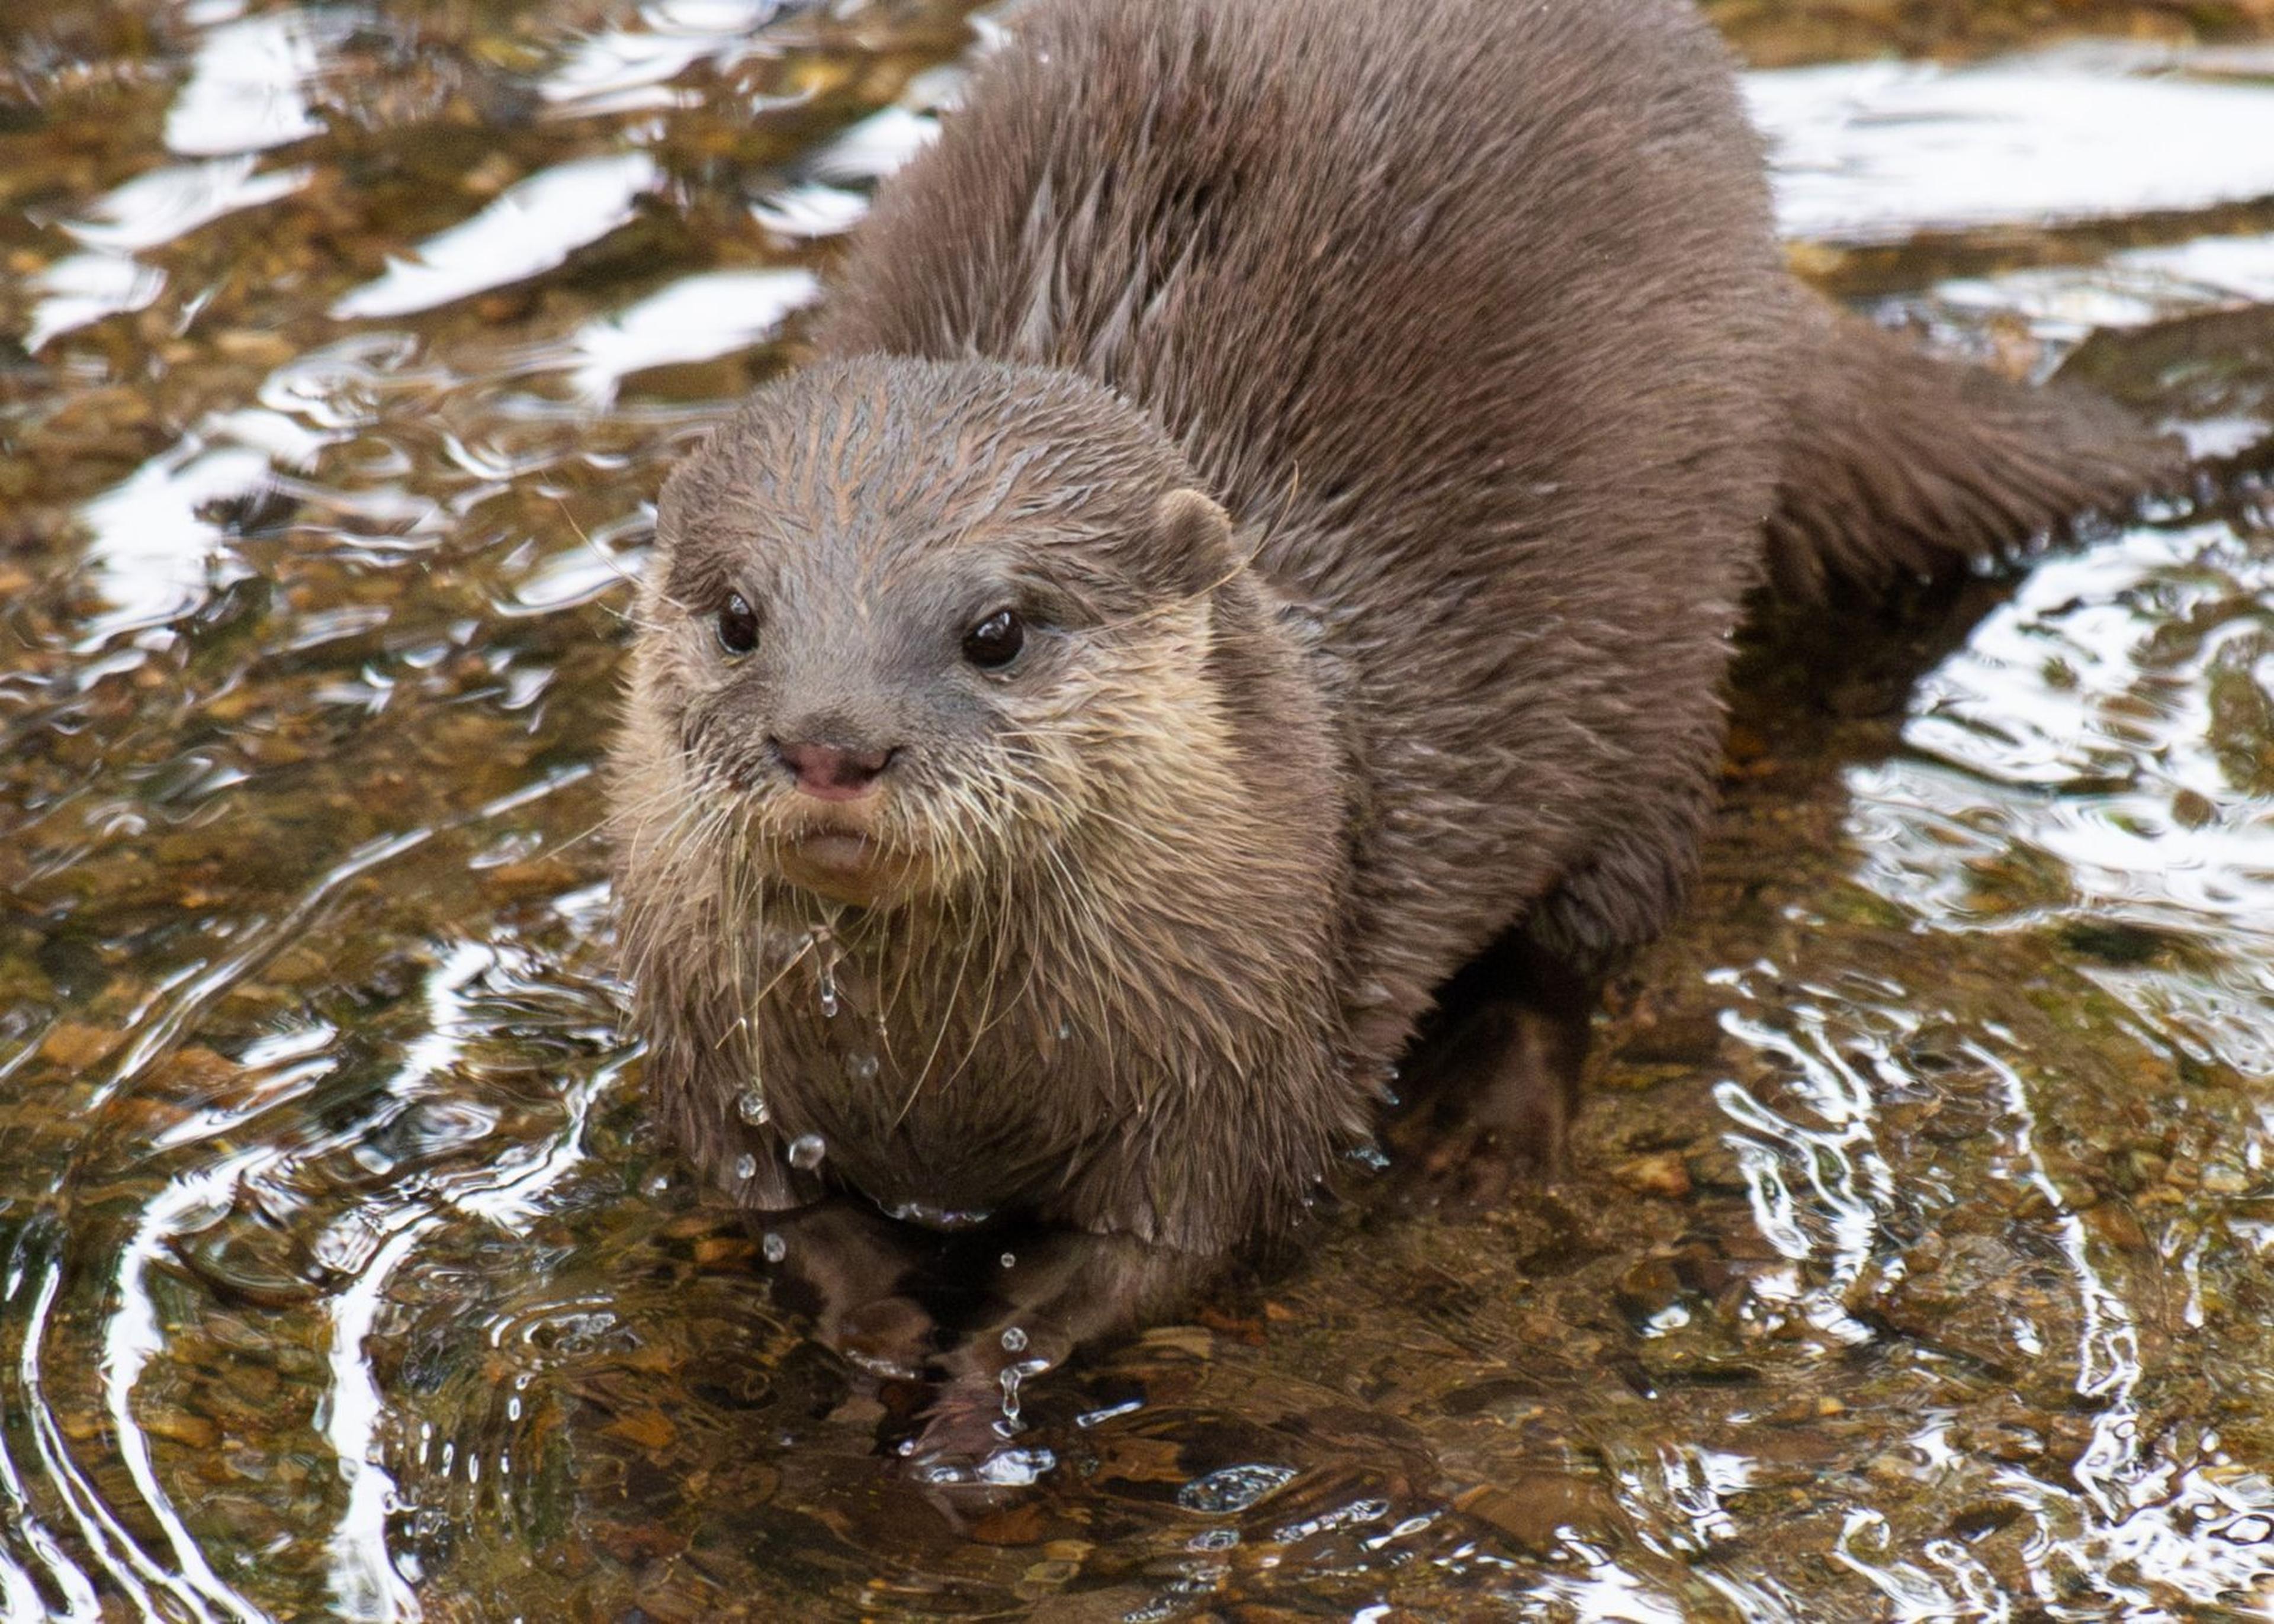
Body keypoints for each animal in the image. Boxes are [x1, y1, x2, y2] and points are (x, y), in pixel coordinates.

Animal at [609, 0, 2173, 1448]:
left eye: (995, 630)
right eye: (741, 615)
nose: (832, 740)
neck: (949, 1084)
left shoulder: (1238, 1075)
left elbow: (1154, 1255)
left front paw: (976, 1401)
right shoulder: (713, 1062)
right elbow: (783, 1218)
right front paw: (874, 1342)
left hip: (1659, 667)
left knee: (1591, 931)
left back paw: (1483, 1127)